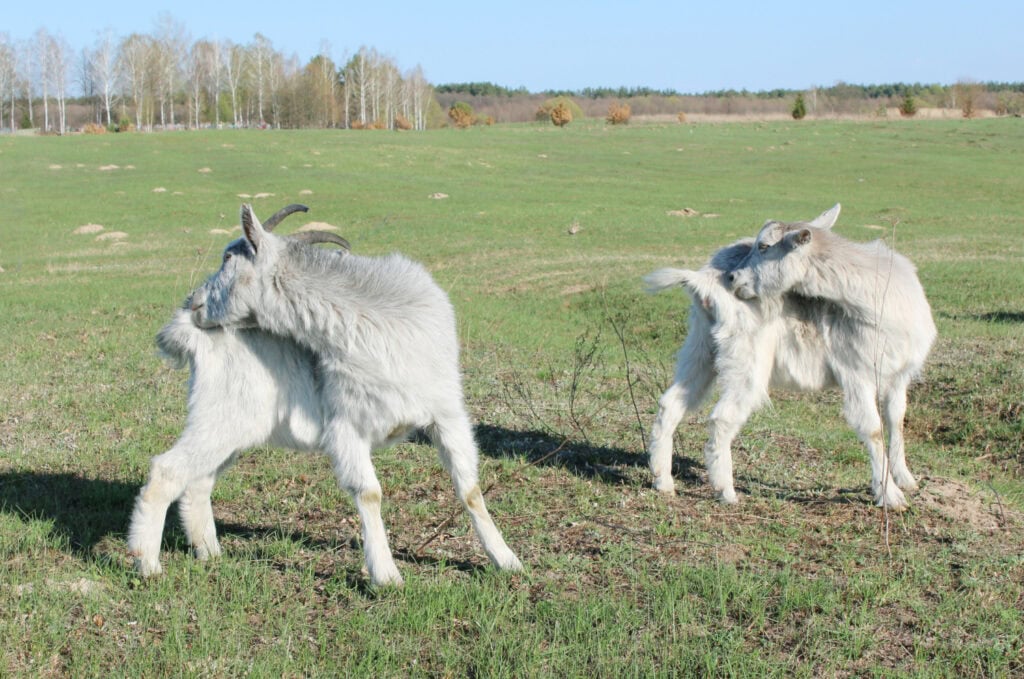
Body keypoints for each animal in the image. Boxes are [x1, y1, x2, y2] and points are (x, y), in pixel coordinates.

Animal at [171, 204, 522, 585]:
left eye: (228, 257)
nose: (193, 303)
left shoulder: (447, 415)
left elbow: (469, 489)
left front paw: (506, 559)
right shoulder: (346, 426)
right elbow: (369, 493)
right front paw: (385, 574)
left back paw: (205, 548)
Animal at [646, 205, 935, 509]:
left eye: (764, 246)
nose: (733, 277)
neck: (876, 295)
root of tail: (704, 282)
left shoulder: (898, 374)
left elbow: (896, 419)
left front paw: (905, 478)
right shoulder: (856, 373)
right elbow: (872, 429)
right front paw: (890, 495)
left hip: (701, 349)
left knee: (671, 403)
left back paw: (662, 480)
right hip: (745, 360)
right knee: (722, 418)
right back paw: (726, 491)